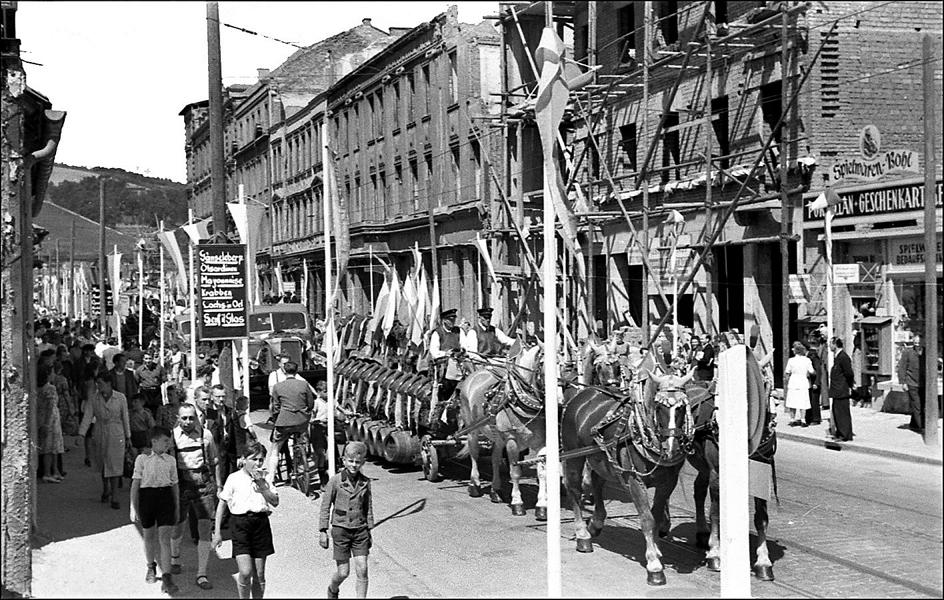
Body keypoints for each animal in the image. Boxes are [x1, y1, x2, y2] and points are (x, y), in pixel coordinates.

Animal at [456, 346, 548, 520]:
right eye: (543, 365)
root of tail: (475, 373)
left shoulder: (542, 442)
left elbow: (542, 473)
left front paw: (542, 507)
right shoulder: (511, 440)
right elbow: (515, 472)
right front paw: (517, 504)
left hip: (498, 436)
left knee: (494, 458)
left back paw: (496, 491)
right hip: (472, 429)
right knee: (474, 454)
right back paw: (474, 485)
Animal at [560, 360, 692, 584]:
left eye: (682, 407)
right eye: (659, 406)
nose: (672, 447)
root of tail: (584, 393)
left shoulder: (668, 482)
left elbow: (656, 517)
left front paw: (657, 550)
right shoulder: (634, 480)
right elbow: (647, 519)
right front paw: (654, 565)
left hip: (601, 457)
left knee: (596, 481)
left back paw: (596, 523)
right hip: (573, 453)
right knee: (574, 488)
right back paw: (583, 535)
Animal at [684, 342, 780, 580]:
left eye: (762, 383)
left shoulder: (761, 470)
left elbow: (761, 517)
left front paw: (763, 562)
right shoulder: (718, 472)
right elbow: (717, 512)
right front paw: (715, 554)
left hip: (703, 465)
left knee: (698, 489)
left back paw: (702, 533)